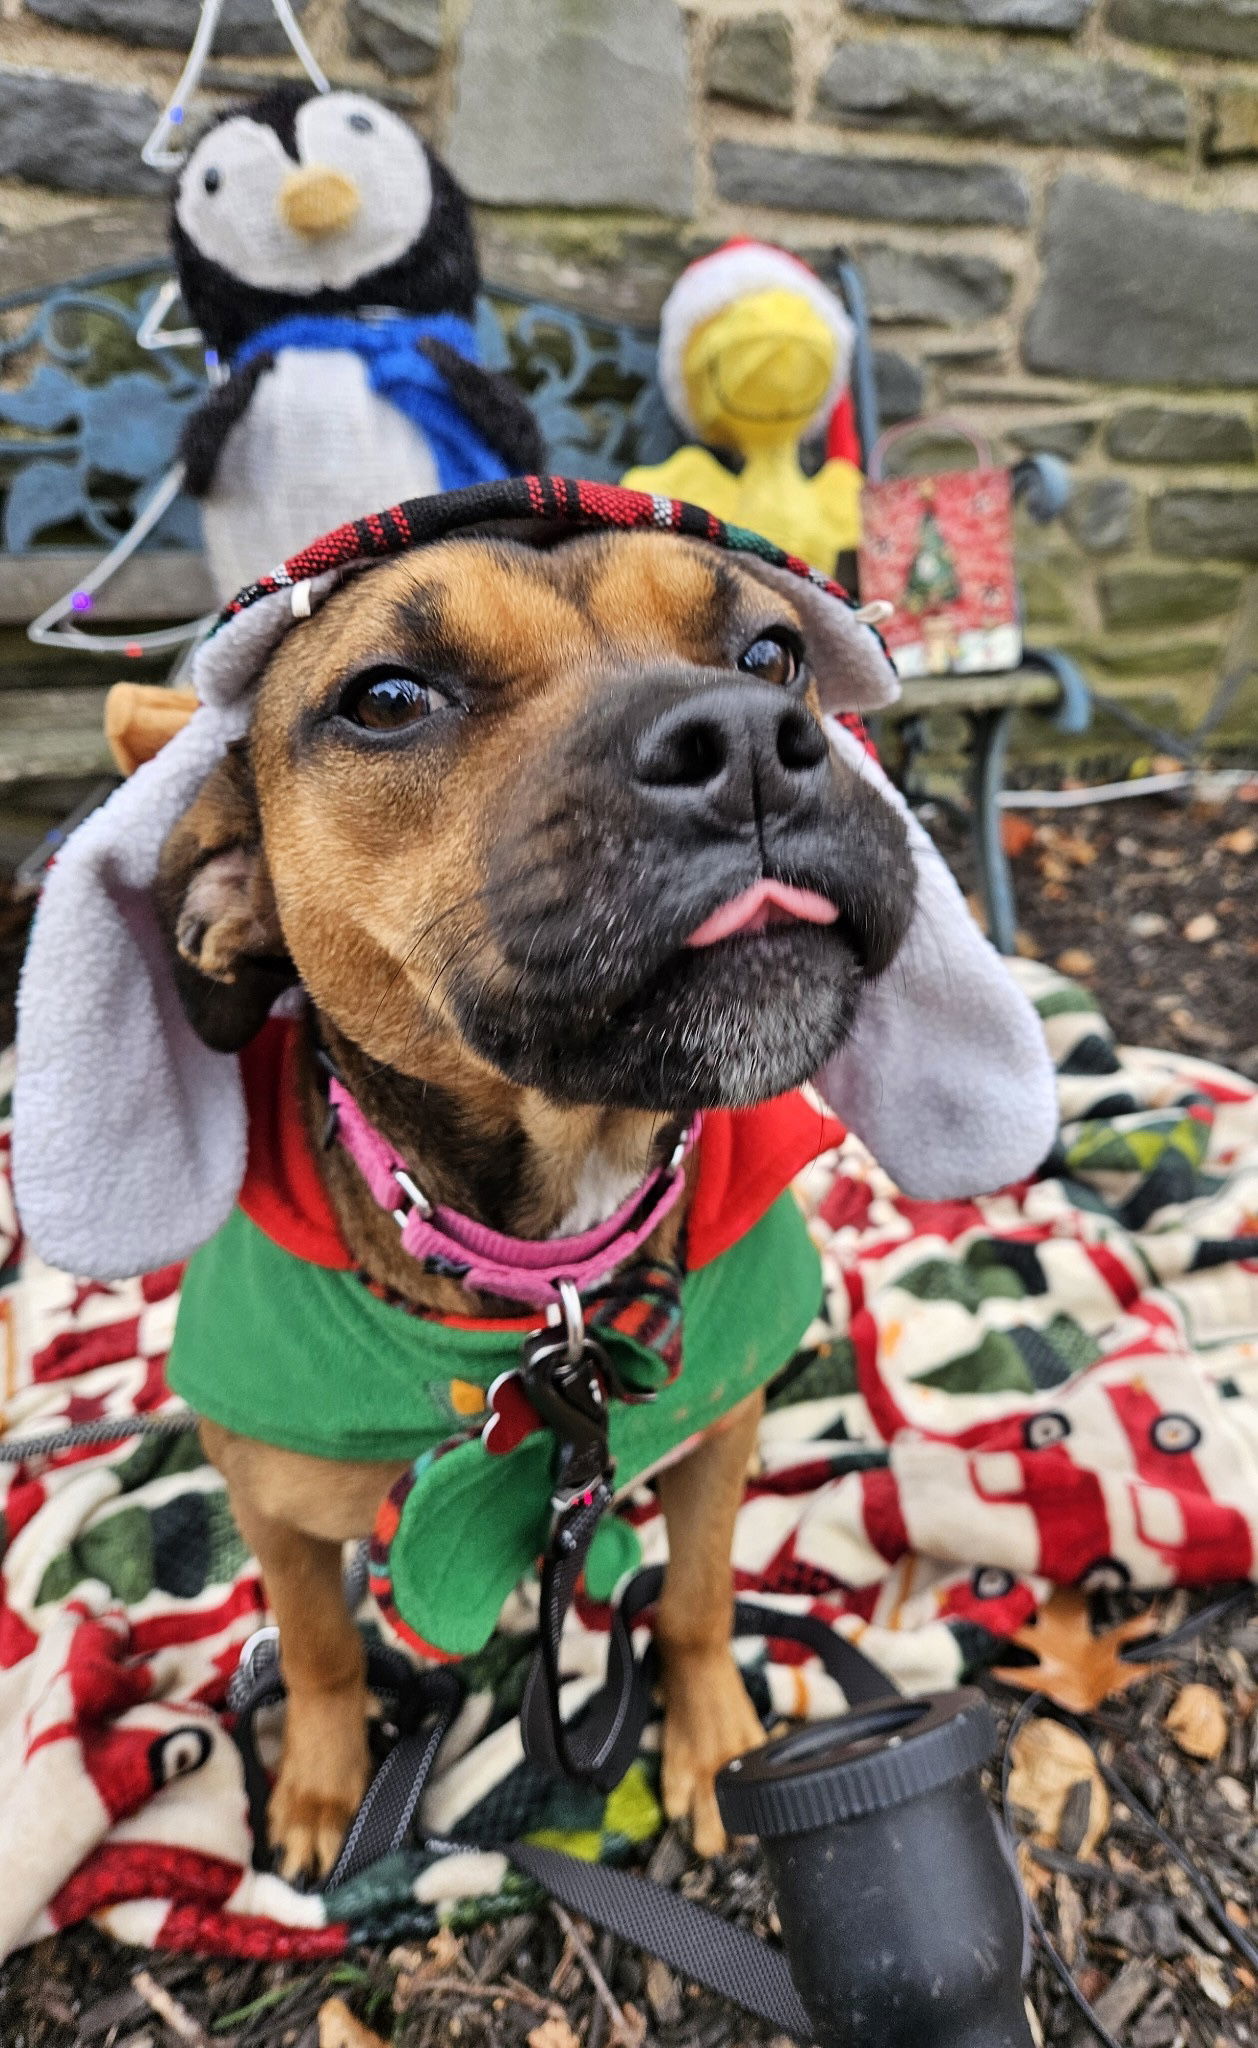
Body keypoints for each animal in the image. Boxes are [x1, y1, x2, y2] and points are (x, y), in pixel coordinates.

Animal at [152, 532, 917, 1884]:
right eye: (387, 698)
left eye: (771, 651)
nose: (748, 736)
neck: (545, 1261)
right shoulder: (274, 1506)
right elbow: (319, 1644)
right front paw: (318, 1784)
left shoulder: (718, 1434)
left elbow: (699, 1596)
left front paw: (713, 1739)